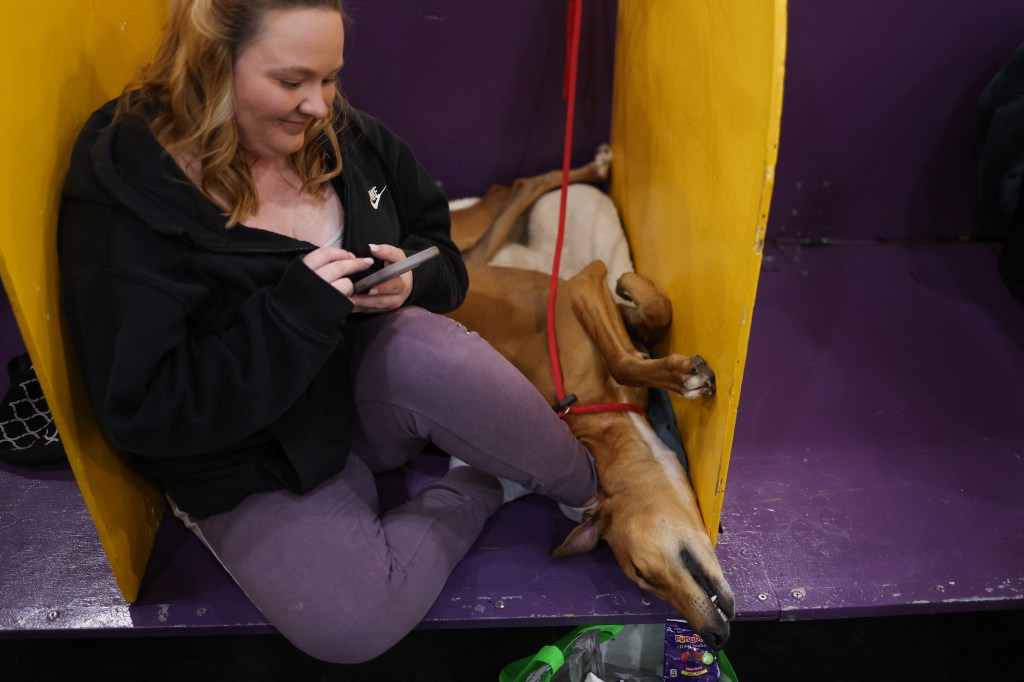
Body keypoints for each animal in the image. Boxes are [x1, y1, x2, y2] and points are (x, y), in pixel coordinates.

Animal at [448, 155, 737, 647]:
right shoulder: (585, 287)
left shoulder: (583, 286)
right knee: (517, 190)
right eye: (643, 576)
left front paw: (633, 290)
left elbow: (649, 317)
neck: (608, 420)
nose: (713, 637)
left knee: (522, 187)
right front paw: (685, 375)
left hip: (477, 254)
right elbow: (627, 354)